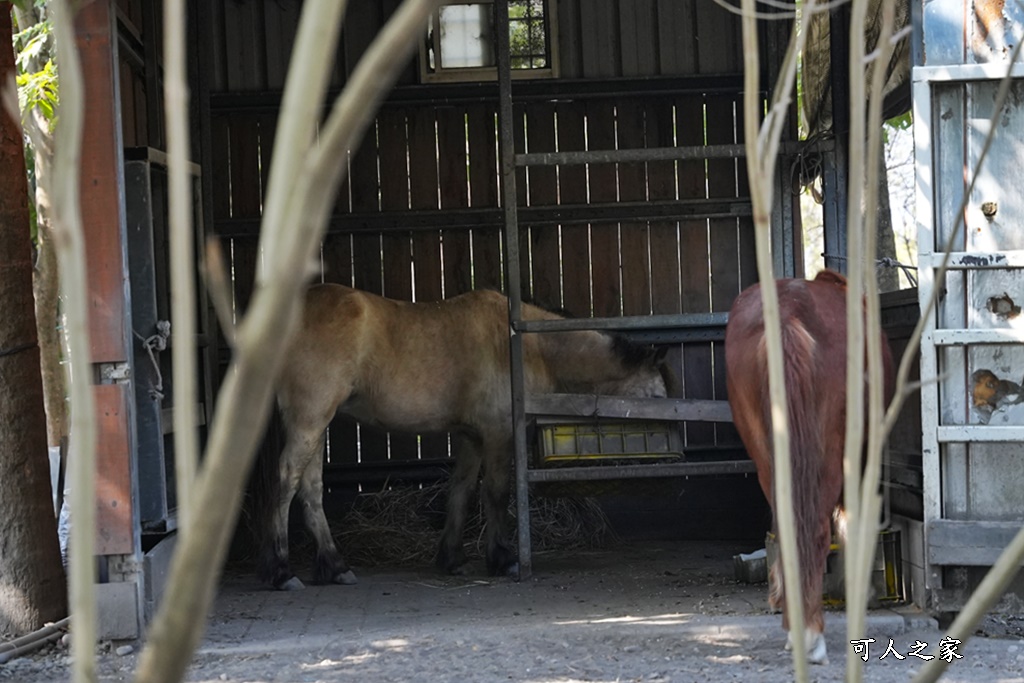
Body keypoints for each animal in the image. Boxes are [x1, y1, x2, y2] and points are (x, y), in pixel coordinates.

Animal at [260, 282, 671, 593]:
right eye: (659, 397)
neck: (526, 345)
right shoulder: (499, 434)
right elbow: (497, 494)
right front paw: (504, 559)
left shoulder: (472, 437)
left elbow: (462, 490)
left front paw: (451, 558)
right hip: (309, 420)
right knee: (285, 482)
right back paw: (282, 572)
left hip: (316, 426)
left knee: (311, 489)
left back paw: (334, 566)